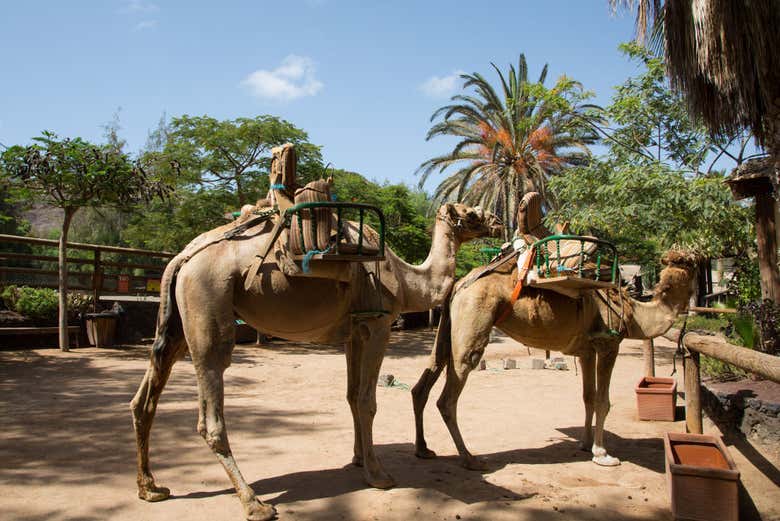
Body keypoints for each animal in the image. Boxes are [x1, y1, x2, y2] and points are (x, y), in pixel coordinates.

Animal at [128, 200, 500, 520]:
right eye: (471, 213)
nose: (497, 222)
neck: (407, 281)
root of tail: (182, 258)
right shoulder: (378, 325)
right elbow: (368, 402)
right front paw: (378, 474)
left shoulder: (354, 333)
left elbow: (352, 397)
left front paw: (358, 459)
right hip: (207, 298)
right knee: (211, 404)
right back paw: (254, 504)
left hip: (177, 321)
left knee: (144, 398)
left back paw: (151, 488)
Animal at [412, 250, 696, 470]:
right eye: (690, 262)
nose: (692, 257)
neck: (634, 314)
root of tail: (461, 284)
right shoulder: (608, 344)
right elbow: (603, 401)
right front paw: (603, 454)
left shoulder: (586, 351)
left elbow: (588, 398)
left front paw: (586, 444)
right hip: (473, 320)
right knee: (449, 395)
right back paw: (470, 459)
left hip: (448, 325)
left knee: (425, 380)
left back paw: (424, 449)